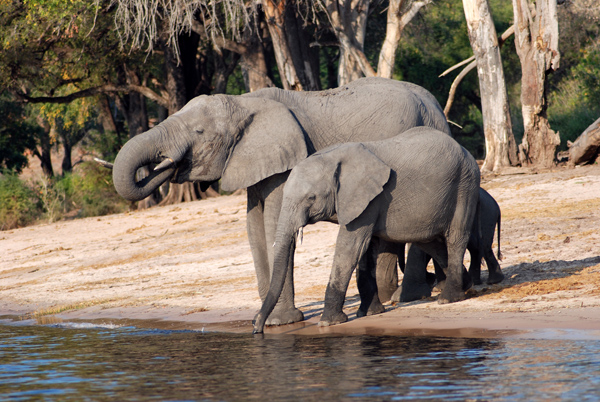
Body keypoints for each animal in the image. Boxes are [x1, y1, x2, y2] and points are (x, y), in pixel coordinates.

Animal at [111, 77, 450, 326]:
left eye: (199, 132)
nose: (165, 164)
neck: (244, 101)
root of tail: (434, 104)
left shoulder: (286, 161)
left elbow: (272, 226)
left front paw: (280, 322)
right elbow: (254, 231)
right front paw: (266, 319)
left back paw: (409, 296)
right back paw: (401, 295)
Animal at [253, 126, 478, 332]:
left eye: (311, 198)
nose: (257, 329)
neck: (333, 158)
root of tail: (465, 151)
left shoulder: (370, 199)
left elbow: (351, 247)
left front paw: (328, 322)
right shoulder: (367, 202)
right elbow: (365, 249)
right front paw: (369, 313)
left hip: (464, 185)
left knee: (455, 238)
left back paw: (449, 298)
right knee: (431, 243)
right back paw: (466, 285)